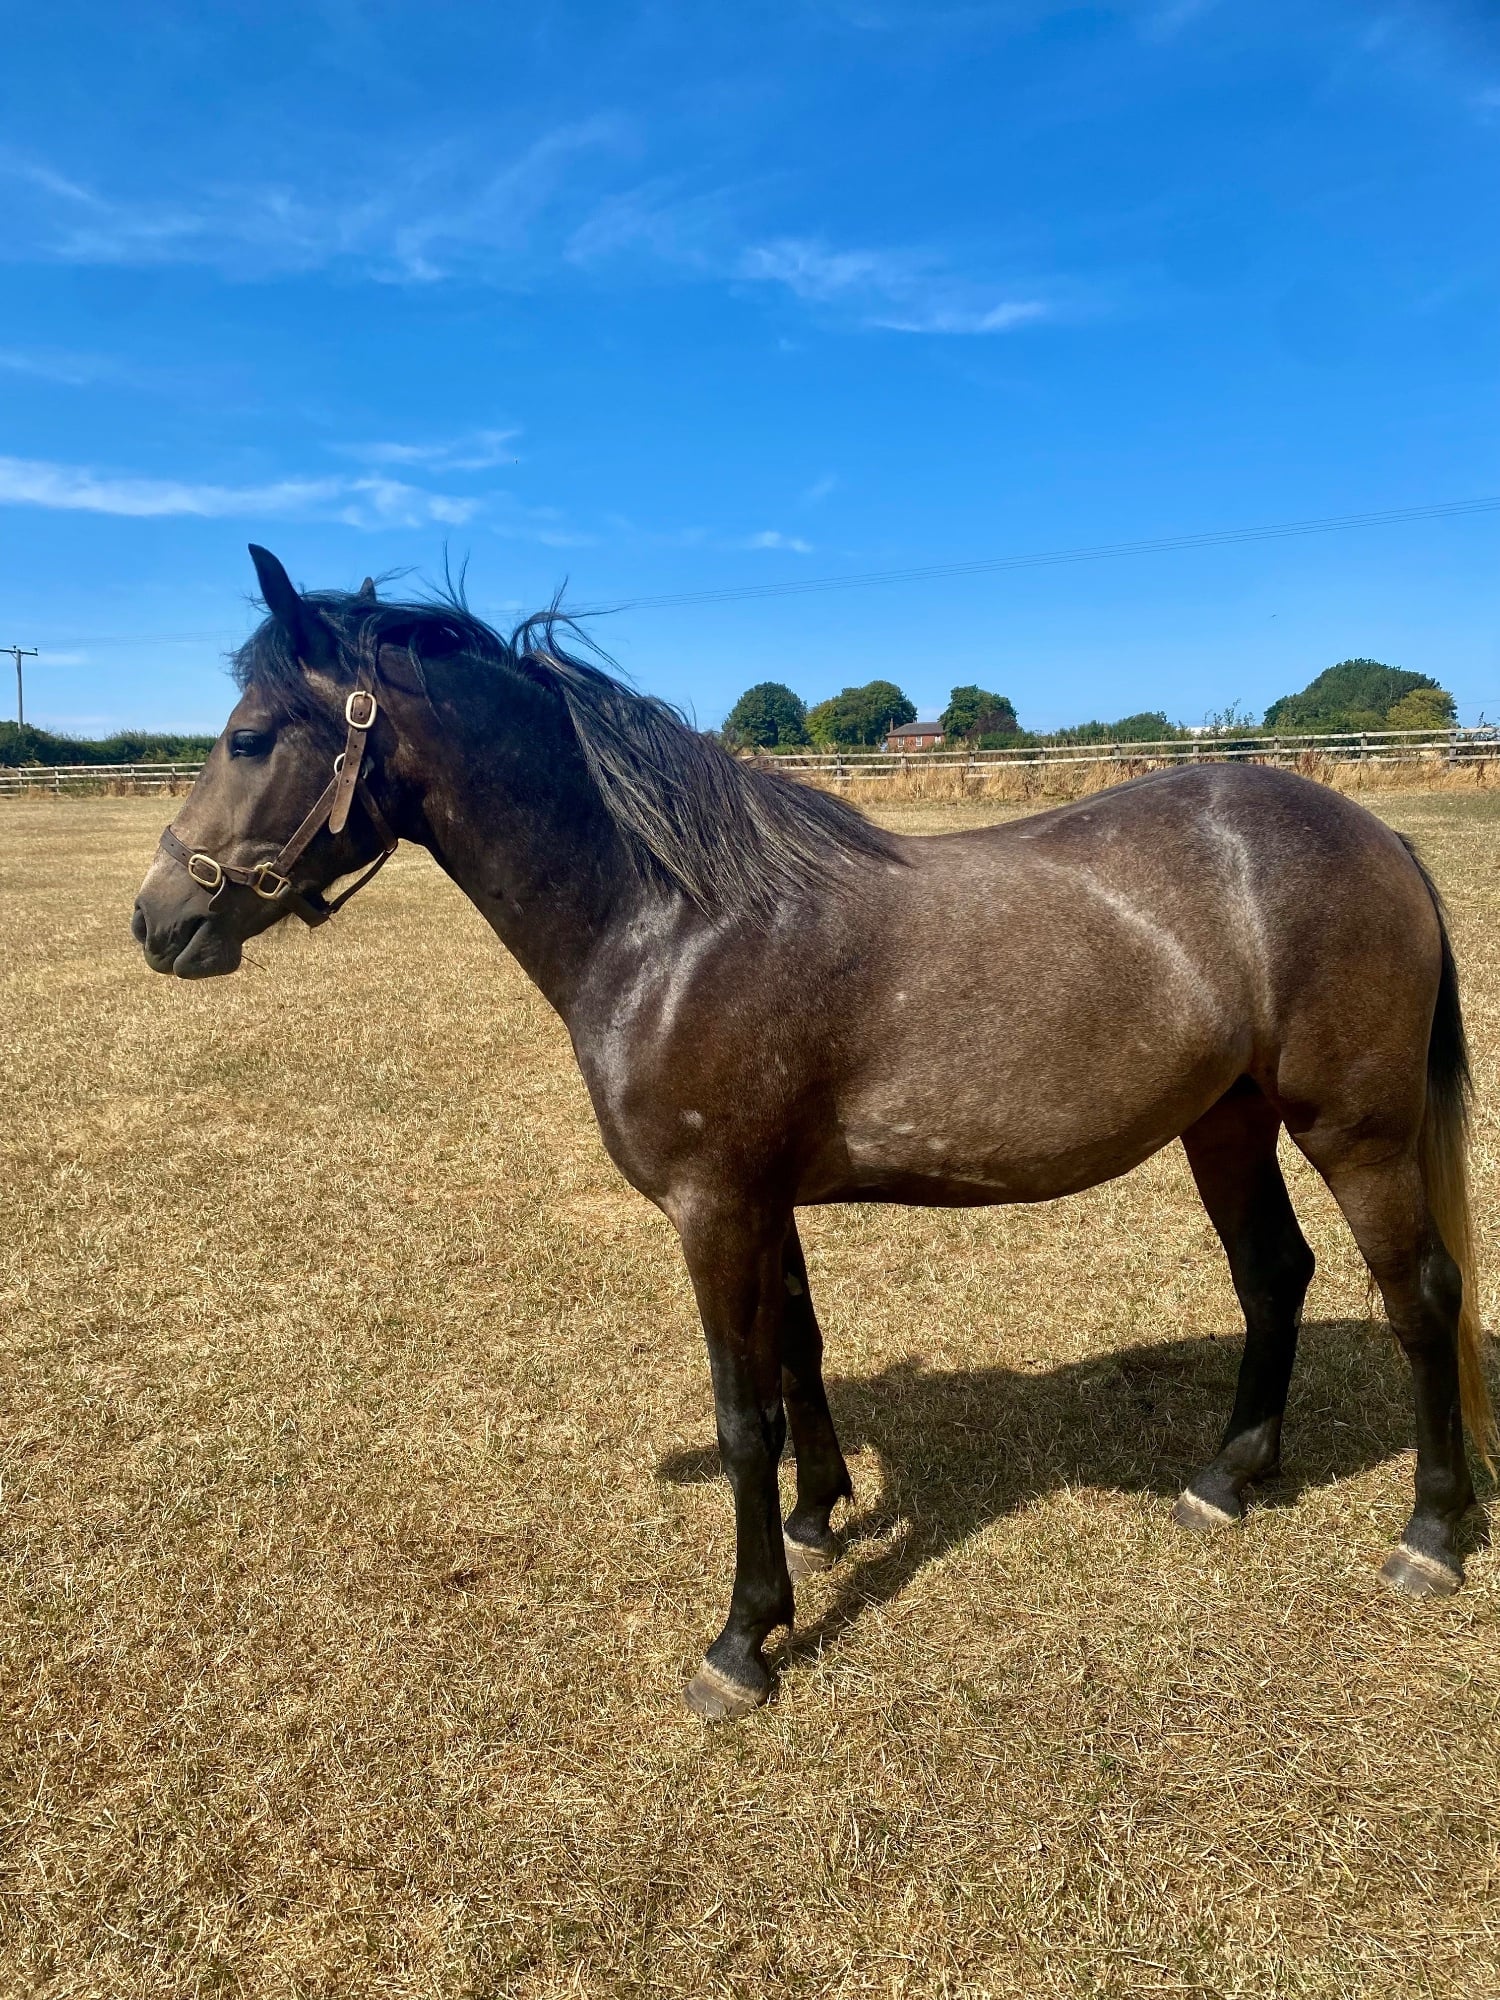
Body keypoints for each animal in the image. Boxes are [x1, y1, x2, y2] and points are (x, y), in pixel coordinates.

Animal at [132, 546, 1493, 1720]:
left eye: (250, 737)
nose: (154, 922)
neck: (673, 925)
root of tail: (1376, 835)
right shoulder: (762, 1200)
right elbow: (800, 1351)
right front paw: (821, 1516)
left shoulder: (714, 1206)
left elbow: (746, 1413)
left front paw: (744, 1637)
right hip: (1228, 1122)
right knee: (1275, 1275)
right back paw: (1225, 1481)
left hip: (1355, 1130)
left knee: (1419, 1293)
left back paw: (1432, 1534)